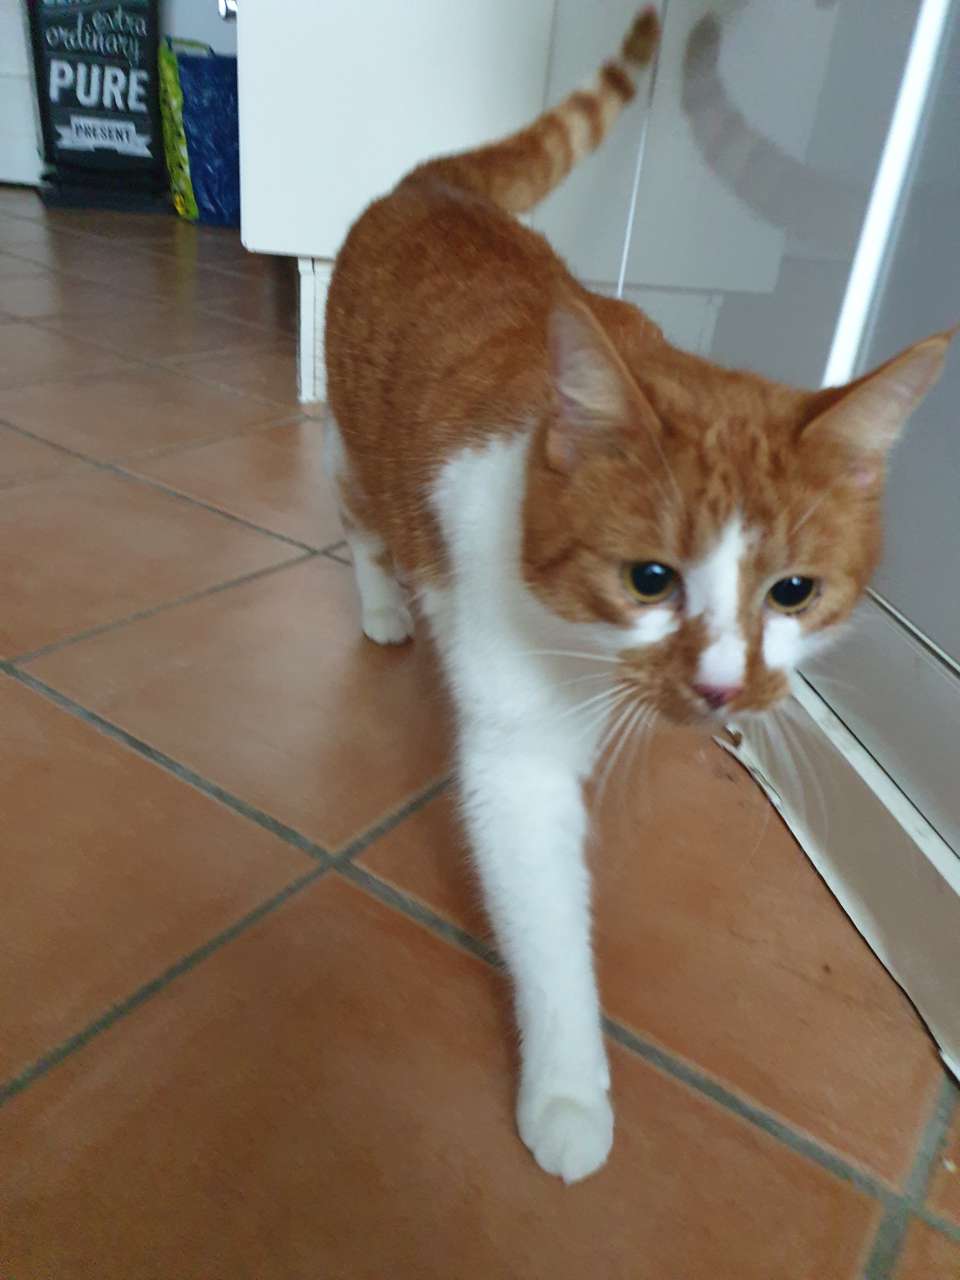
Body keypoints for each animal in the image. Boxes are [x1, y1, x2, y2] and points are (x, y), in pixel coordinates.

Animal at [323, 6, 951, 1183]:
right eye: (649, 579)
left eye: (794, 591)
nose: (723, 690)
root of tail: (440, 185)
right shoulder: (517, 758)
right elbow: (547, 927)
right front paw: (569, 1092)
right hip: (359, 436)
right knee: (358, 507)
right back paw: (382, 604)